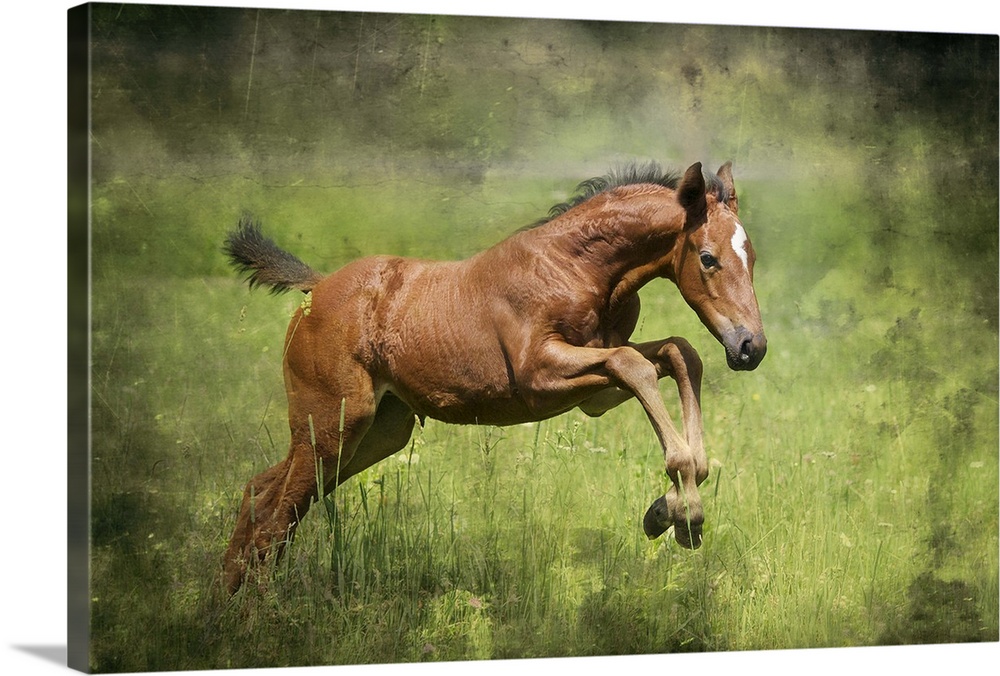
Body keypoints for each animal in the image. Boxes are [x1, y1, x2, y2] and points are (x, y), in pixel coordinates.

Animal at [219, 161, 764, 596]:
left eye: (752, 257)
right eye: (708, 258)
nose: (750, 347)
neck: (575, 269)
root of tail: (314, 290)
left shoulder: (595, 389)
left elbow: (676, 354)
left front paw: (671, 507)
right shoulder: (539, 378)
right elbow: (637, 365)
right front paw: (683, 511)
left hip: (377, 432)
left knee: (261, 494)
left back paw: (223, 607)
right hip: (333, 424)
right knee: (273, 519)